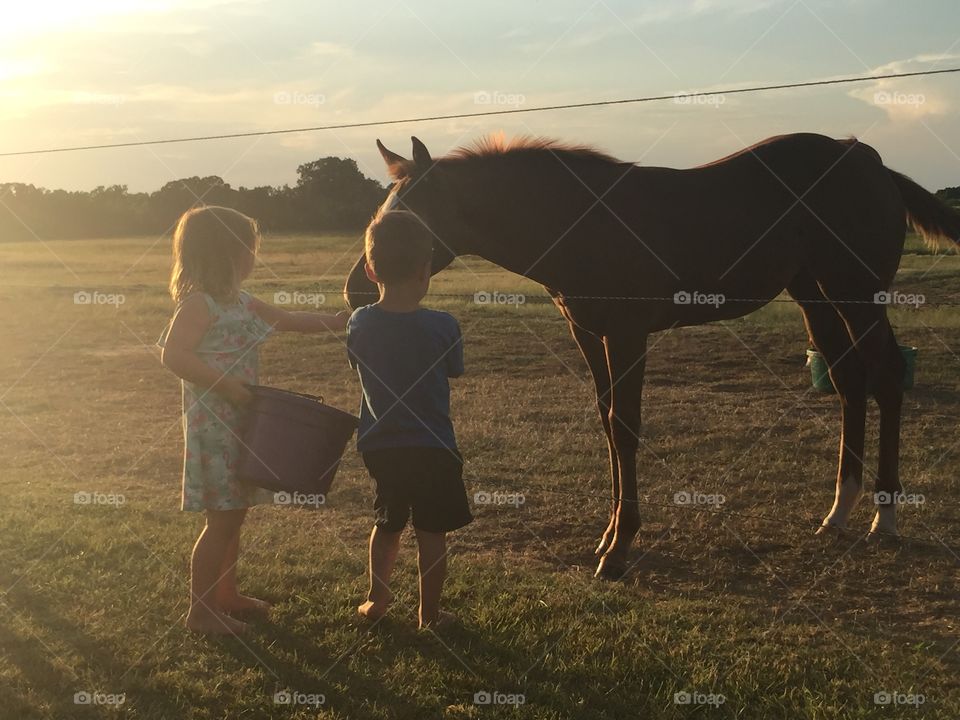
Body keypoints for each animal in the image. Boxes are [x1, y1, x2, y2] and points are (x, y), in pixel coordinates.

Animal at [344, 132, 960, 580]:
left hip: (857, 293)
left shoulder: (627, 334)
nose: (358, 287)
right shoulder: (587, 334)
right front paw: (608, 535)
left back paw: (885, 516)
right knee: (850, 380)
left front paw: (619, 549)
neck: (582, 222)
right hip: (816, 295)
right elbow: (607, 422)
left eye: (411, 218)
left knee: (885, 377)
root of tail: (871, 160)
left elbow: (626, 424)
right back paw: (839, 512)